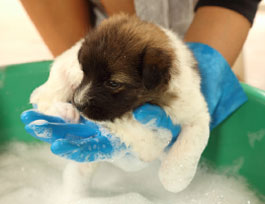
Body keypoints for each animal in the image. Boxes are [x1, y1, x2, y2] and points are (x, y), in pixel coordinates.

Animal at [30, 14, 208, 194]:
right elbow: (138, 133)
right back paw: (65, 111)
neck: (156, 99)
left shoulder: (195, 111)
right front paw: (155, 145)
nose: (78, 104)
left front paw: (174, 177)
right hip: (62, 76)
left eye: (113, 83)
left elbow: (189, 146)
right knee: (42, 98)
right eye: (84, 72)